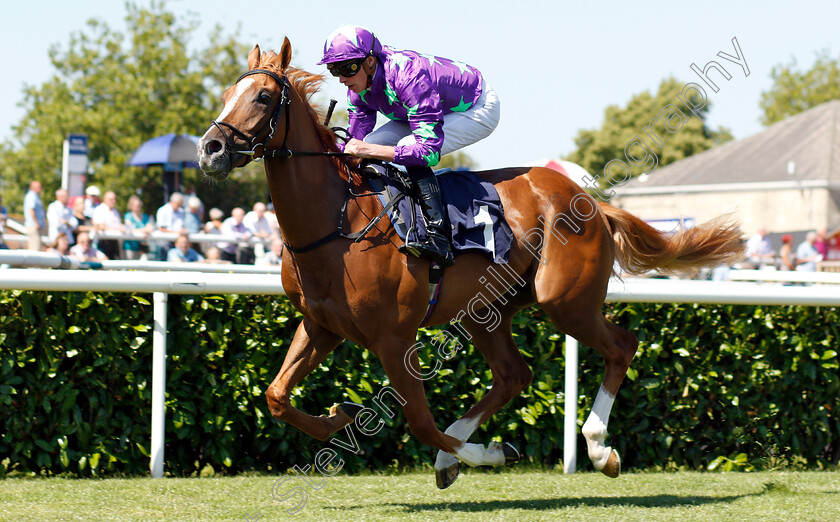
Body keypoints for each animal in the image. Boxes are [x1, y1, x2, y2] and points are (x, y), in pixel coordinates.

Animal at [197, 38, 740, 486]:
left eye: (263, 97)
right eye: (225, 92)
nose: (210, 148)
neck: (337, 222)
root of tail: (591, 200)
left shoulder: (394, 338)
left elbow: (420, 421)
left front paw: (490, 454)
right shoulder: (322, 325)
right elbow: (276, 395)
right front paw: (339, 415)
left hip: (566, 300)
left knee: (621, 346)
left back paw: (598, 449)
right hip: (486, 311)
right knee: (513, 375)